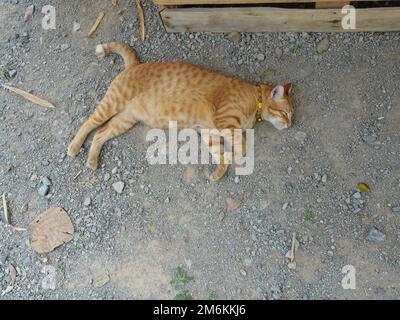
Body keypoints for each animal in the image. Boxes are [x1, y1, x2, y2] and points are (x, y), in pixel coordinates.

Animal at [68, 42, 294, 181]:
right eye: (286, 114)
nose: (291, 125)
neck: (255, 99)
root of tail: (135, 64)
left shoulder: (209, 132)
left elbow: (219, 153)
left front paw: (219, 171)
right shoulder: (225, 122)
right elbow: (241, 144)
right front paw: (236, 155)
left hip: (125, 120)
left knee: (100, 134)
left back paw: (92, 160)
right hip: (112, 104)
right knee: (89, 123)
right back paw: (74, 146)